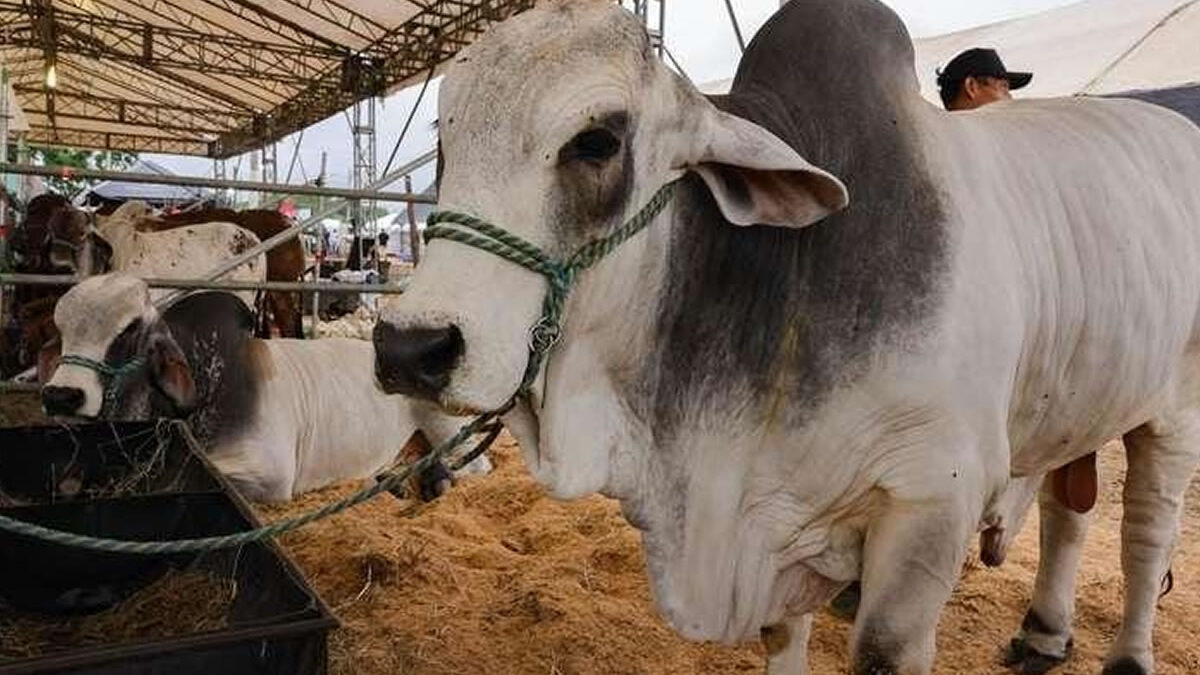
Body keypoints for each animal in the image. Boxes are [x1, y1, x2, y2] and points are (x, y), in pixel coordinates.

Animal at [369, 1, 1200, 672]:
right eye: (445, 144)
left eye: (597, 141)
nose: (410, 348)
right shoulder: (776, 516)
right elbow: (783, 633)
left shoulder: (932, 499)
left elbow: (882, 649)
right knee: (1070, 508)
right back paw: (1043, 632)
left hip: (1176, 411)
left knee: (1145, 535)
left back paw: (1128, 654)